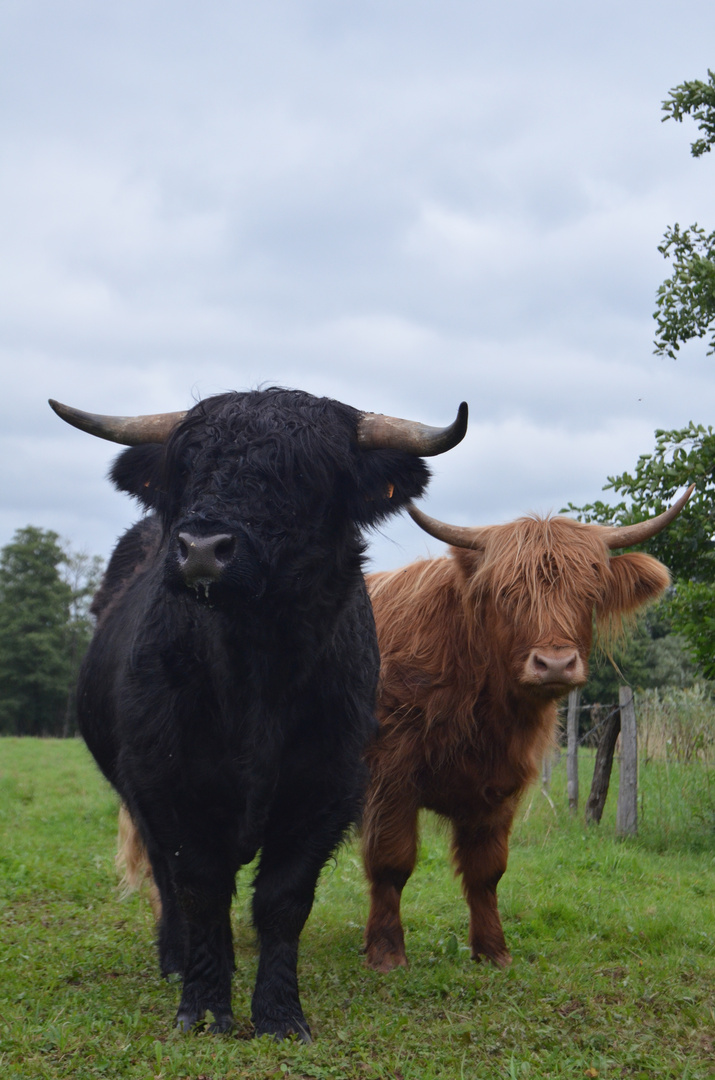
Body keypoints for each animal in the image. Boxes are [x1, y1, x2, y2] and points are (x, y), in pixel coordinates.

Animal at [49, 386, 464, 1036]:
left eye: (304, 474)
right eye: (188, 466)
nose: (200, 549)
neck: (255, 674)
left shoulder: (328, 787)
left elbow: (283, 899)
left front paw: (278, 1014)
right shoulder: (166, 784)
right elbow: (199, 888)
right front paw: (203, 1006)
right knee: (168, 882)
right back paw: (175, 958)